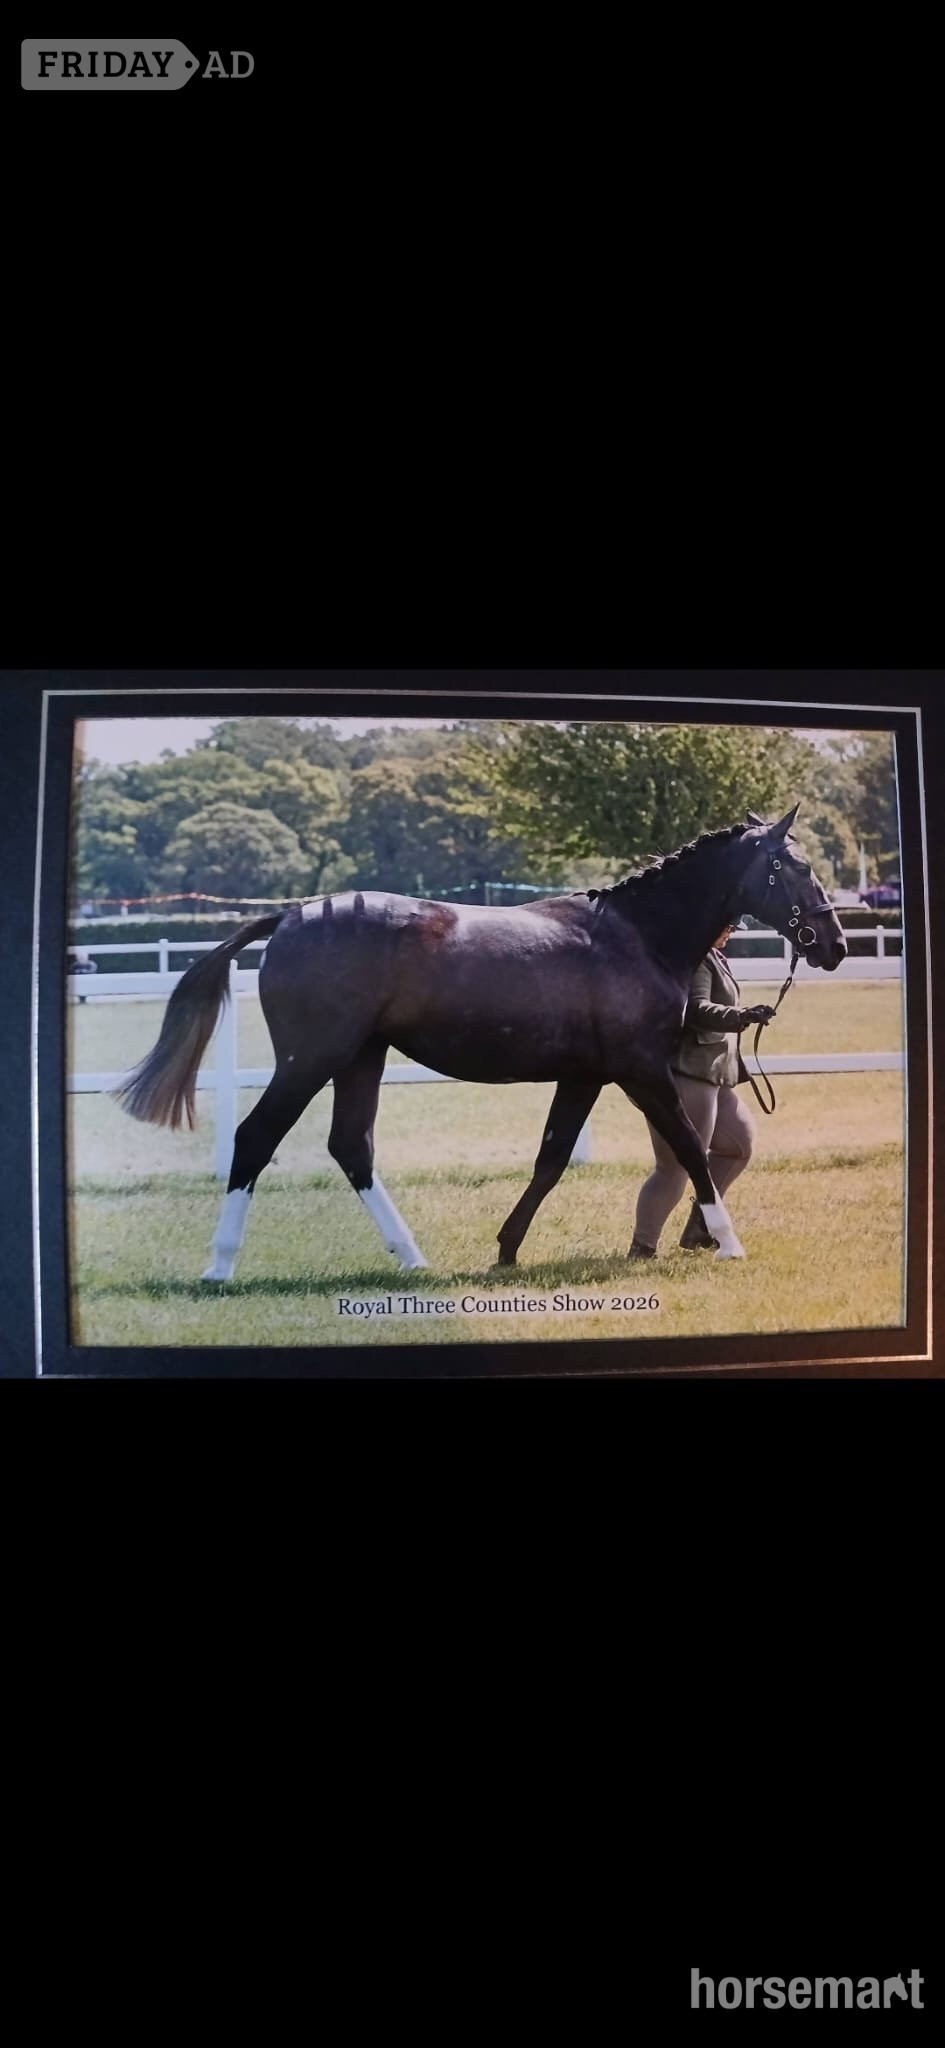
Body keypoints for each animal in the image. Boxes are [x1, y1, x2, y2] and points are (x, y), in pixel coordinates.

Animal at [114, 803, 847, 1279]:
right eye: (794, 865)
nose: (834, 943)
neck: (634, 934)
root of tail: (293, 914)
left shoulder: (584, 1075)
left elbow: (550, 1158)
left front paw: (506, 1249)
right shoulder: (640, 1069)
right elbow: (692, 1149)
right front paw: (728, 1243)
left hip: (360, 1059)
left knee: (351, 1147)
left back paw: (411, 1258)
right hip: (309, 1061)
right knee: (256, 1138)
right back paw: (220, 1267)